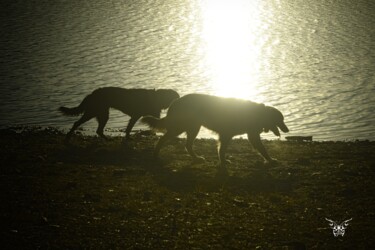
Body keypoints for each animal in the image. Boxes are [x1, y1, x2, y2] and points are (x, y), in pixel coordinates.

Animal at [142, 93, 290, 165]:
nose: (287, 130)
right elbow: (222, 150)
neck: (258, 114)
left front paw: (270, 160)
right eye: (280, 120)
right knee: (162, 139)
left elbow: (262, 149)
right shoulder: (227, 135)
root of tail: (175, 102)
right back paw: (155, 155)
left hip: (193, 128)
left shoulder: (248, 135)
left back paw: (196, 158)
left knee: (187, 145)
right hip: (181, 128)